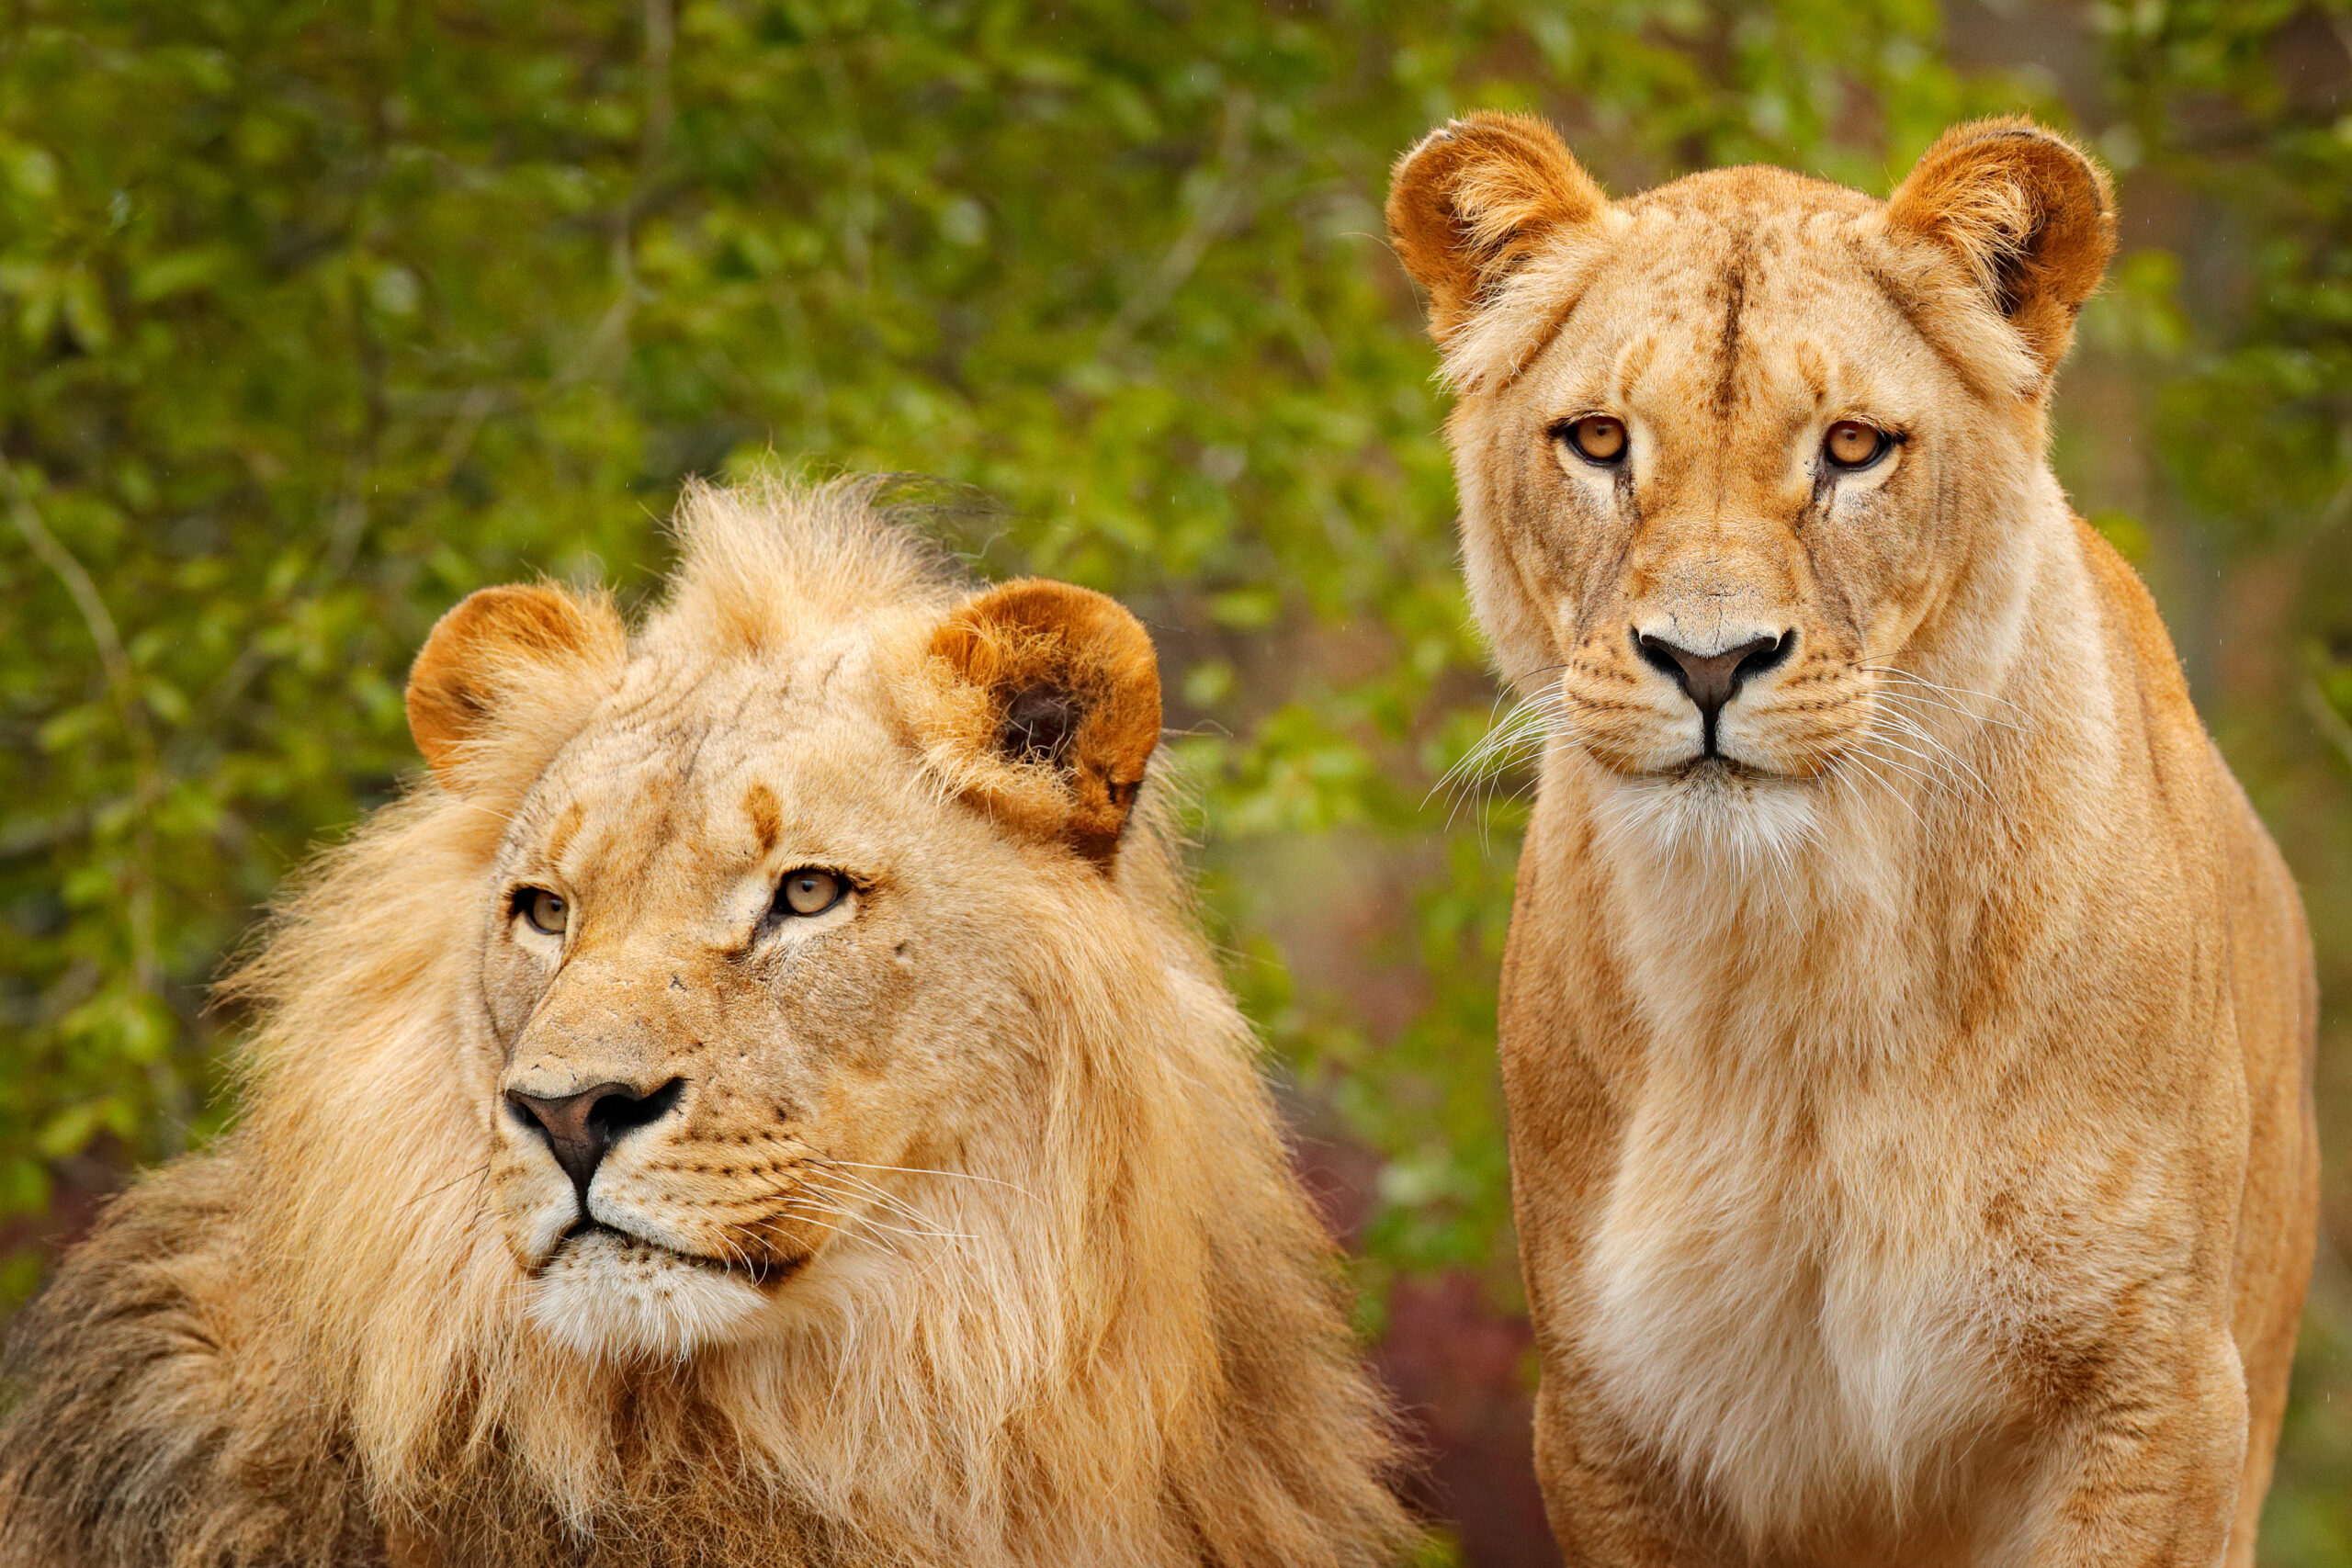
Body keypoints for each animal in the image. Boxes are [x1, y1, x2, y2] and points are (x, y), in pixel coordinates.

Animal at [1383, 116, 2324, 1561]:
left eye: (1853, 445)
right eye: (1598, 440)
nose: (1708, 662)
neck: (1797, 964)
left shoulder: (2157, 1393)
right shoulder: (1612, 1411)